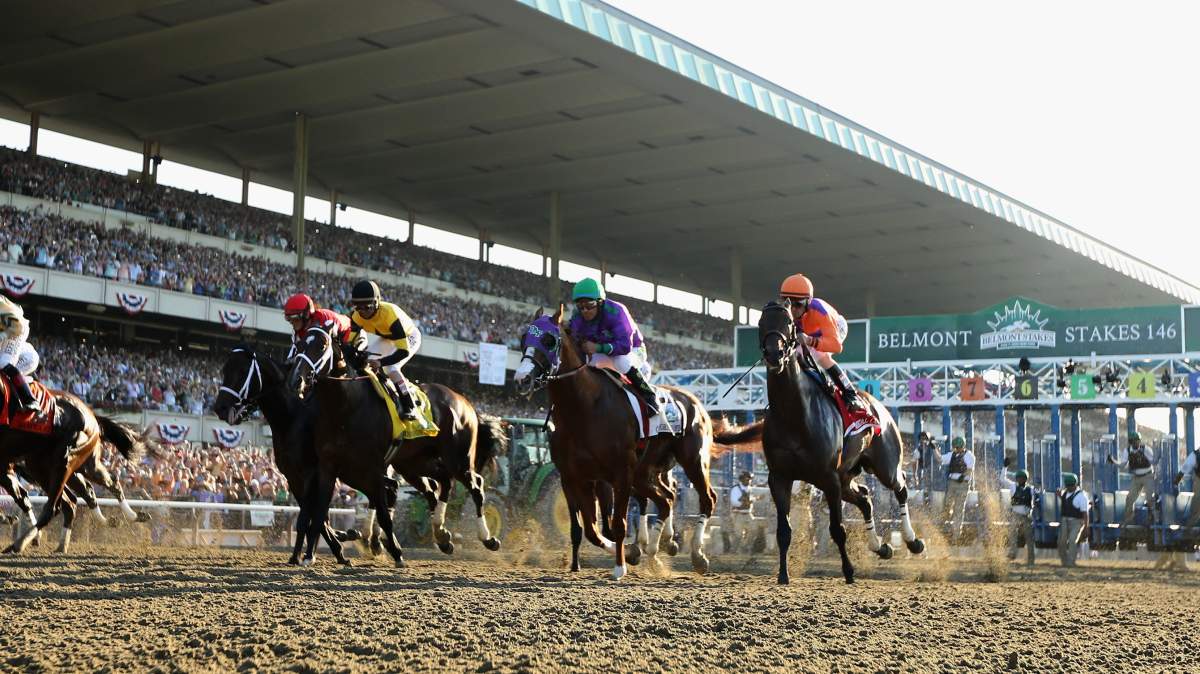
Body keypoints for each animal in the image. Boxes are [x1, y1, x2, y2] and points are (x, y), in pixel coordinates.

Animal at [211, 344, 358, 566]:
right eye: (223, 370)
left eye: (243, 372)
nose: (220, 407)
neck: (292, 418)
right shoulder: (292, 476)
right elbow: (313, 514)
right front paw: (320, 550)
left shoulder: (312, 473)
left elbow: (309, 516)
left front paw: (307, 554)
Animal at [291, 327, 506, 567]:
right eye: (299, 344)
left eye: (321, 346)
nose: (297, 379)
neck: (345, 405)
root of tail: (465, 401)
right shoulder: (329, 467)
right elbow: (319, 511)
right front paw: (309, 556)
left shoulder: (374, 469)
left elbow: (383, 512)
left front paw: (394, 552)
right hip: (413, 463)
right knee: (442, 482)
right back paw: (441, 534)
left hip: (458, 459)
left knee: (475, 486)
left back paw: (487, 538)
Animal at [512, 306, 718, 579]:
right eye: (523, 338)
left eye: (549, 340)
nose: (522, 379)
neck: (584, 408)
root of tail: (694, 399)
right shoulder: (574, 477)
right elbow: (590, 530)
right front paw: (630, 552)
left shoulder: (619, 474)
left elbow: (617, 524)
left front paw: (620, 566)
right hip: (644, 472)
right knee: (666, 499)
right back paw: (659, 549)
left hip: (693, 461)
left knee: (706, 498)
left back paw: (697, 555)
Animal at [713, 301, 924, 584]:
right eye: (760, 323)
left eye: (789, 323)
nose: (774, 355)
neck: (794, 414)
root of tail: (880, 408)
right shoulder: (780, 477)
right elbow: (783, 530)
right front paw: (783, 574)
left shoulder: (828, 477)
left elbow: (838, 529)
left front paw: (849, 572)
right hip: (846, 476)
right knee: (865, 498)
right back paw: (880, 546)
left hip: (883, 465)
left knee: (900, 488)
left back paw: (913, 541)